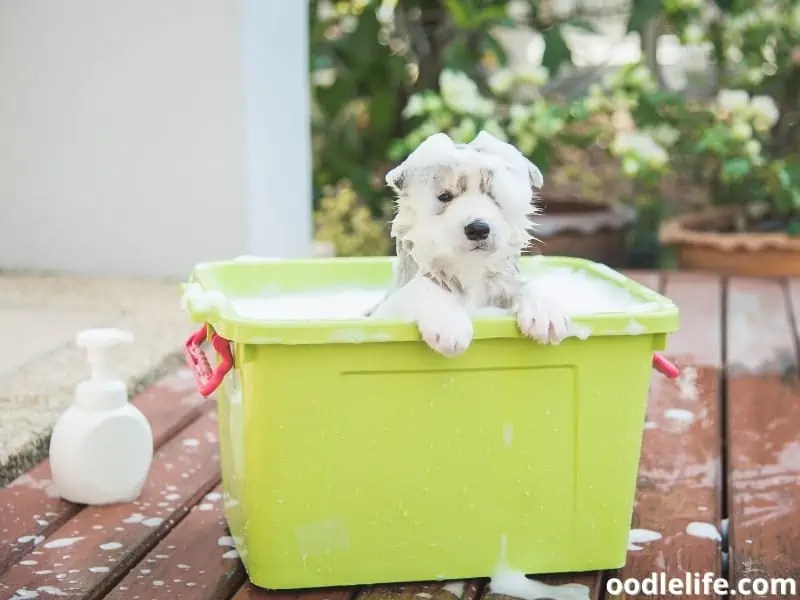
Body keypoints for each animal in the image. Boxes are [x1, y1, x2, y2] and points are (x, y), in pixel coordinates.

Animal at [366, 131, 572, 356]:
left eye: (495, 195)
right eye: (444, 196)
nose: (478, 229)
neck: (469, 269)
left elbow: (522, 285)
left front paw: (545, 311)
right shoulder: (385, 310)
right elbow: (424, 285)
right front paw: (448, 325)